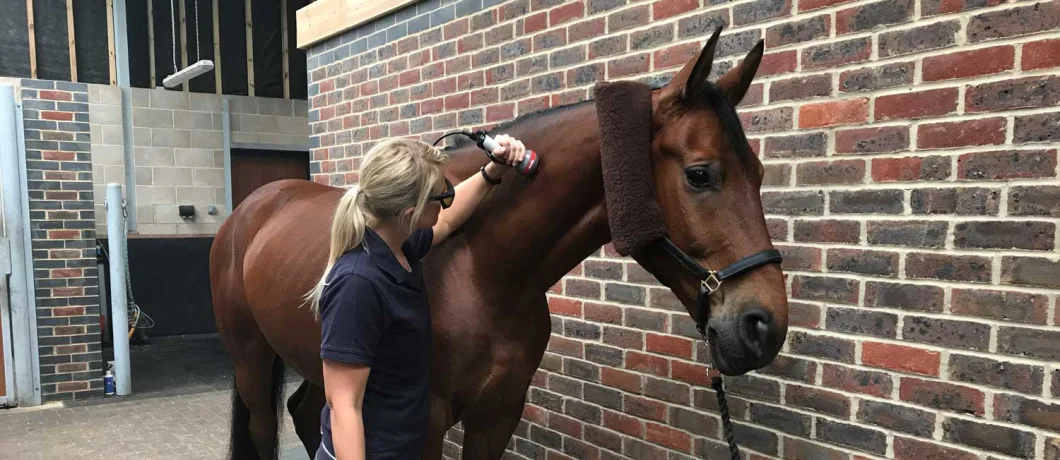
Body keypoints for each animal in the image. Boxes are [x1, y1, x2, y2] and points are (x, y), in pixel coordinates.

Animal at [208, 27, 788, 459]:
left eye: (761, 173)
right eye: (700, 174)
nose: (763, 326)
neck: (480, 268)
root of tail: (249, 211)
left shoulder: (500, 413)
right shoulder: (427, 420)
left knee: (307, 415)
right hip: (251, 363)